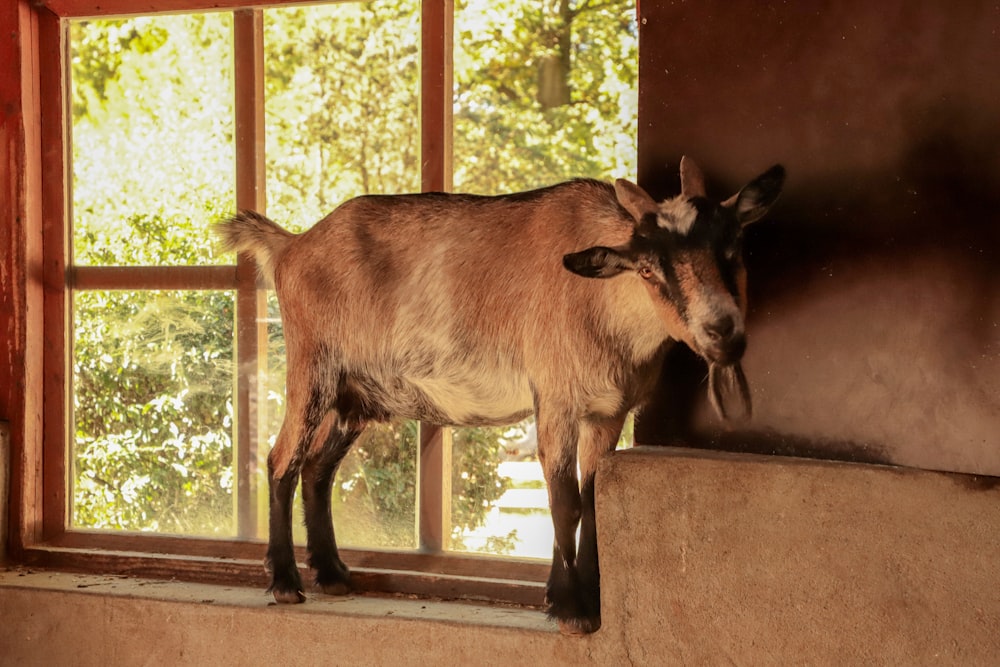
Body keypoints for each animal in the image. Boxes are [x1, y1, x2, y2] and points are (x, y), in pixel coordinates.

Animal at [215, 159, 784, 636]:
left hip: (356, 396)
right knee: (281, 460)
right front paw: (572, 610)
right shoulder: (555, 399)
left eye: (733, 246)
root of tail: (291, 246)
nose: (723, 331)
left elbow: (592, 501)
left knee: (318, 468)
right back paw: (286, 583)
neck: (604, 306)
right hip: (313, 370)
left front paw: (580, 600)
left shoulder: (608, 413)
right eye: (648, 268)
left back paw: (333, 574)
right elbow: (565, 502)